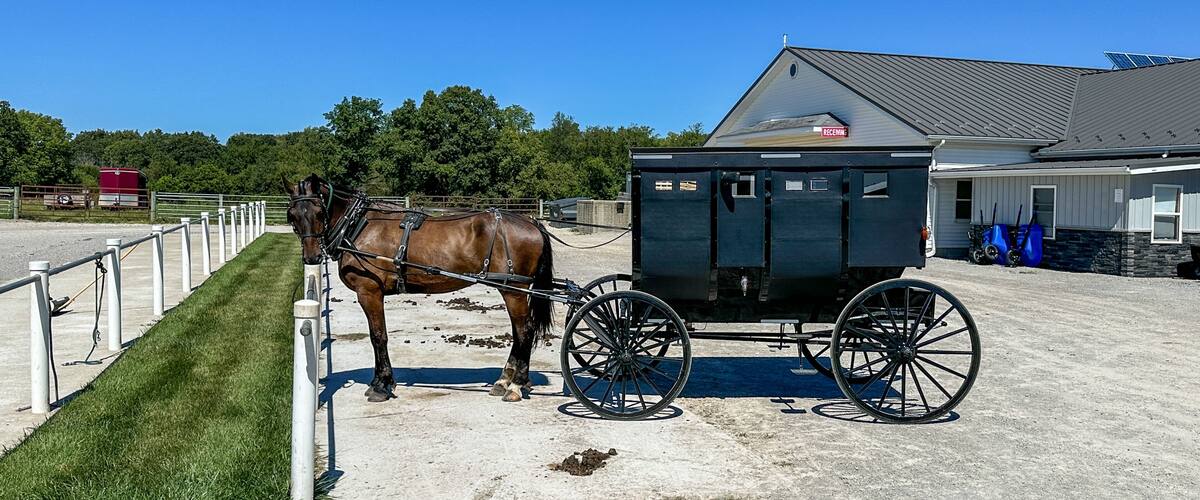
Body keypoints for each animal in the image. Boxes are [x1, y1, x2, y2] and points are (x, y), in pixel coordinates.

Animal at [282, 174, 554, 403]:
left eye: (319, 212)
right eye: (292, 215)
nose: (312, 257)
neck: (359, 225)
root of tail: (532, 223)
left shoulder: (369, 291)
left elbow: (378, 336)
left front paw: (381, 385)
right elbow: (377, 335)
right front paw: (382, 381)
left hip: (514, 290)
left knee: (525, 331)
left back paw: (516, 385)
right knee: (519, 332)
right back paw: (504, 380)